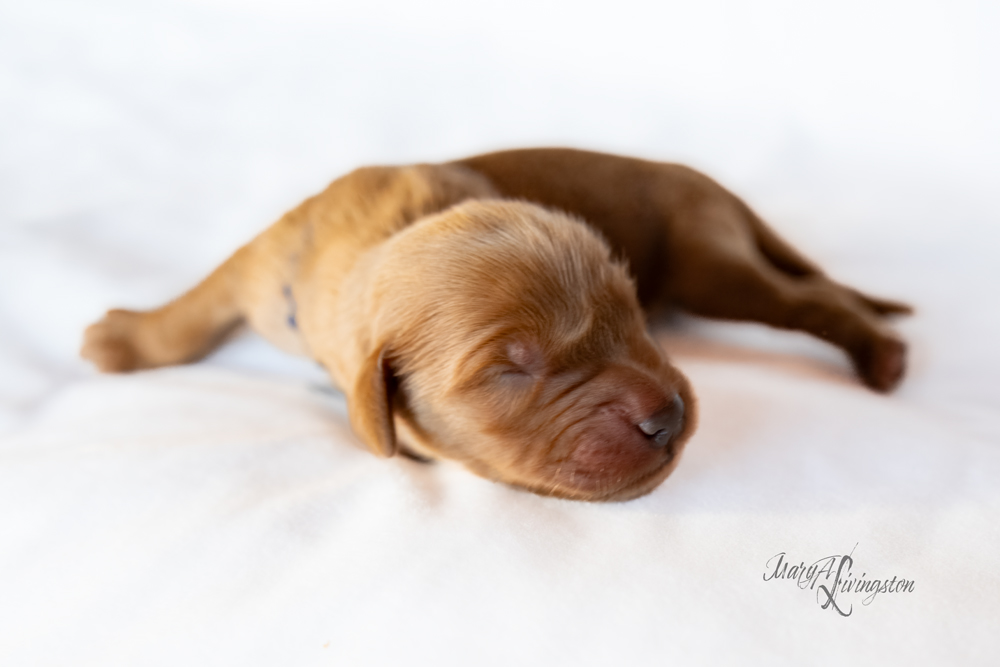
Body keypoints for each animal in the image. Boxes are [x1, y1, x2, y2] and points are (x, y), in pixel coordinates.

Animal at [82, 146, 912, 500]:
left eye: (633, 312)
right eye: (510, 369)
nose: (671, 416)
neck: (394, 226)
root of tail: (706, 179)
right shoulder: (264, 259)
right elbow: (196, 306)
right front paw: (129, 335)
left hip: (711, 265)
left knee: (813, 299)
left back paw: (881, 353)